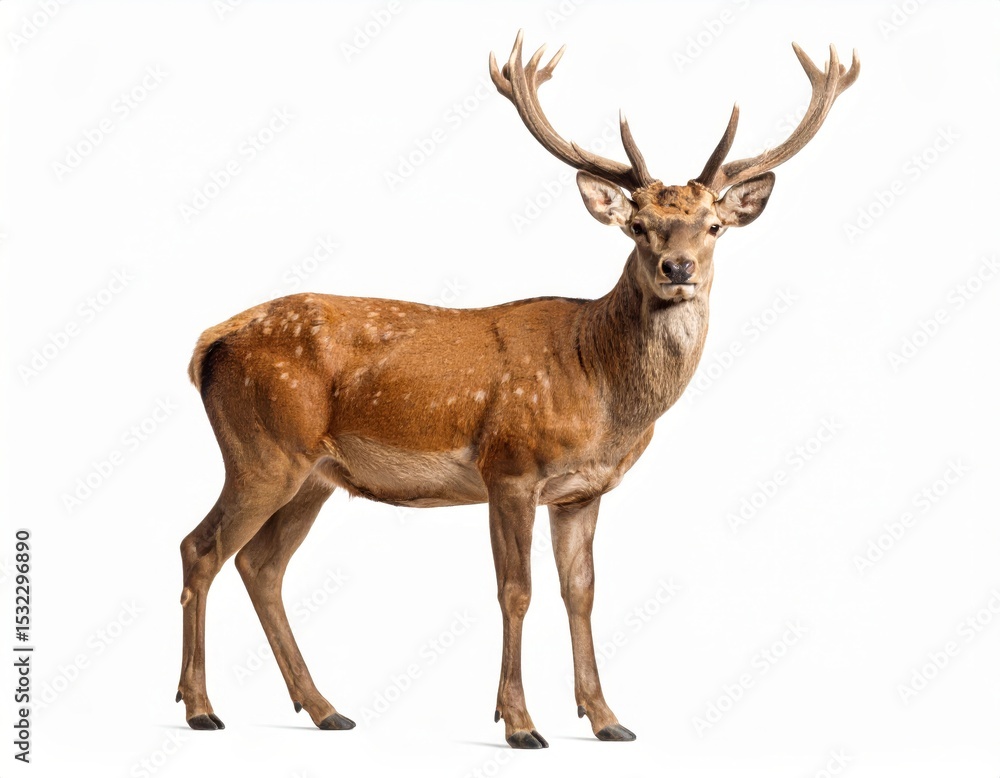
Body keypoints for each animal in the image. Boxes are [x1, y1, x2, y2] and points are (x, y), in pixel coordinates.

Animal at [176, 30, 858, 748]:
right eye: (638, 226)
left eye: (713, 226)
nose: (678, 269)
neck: (602, 389)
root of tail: (206, 345)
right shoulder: (509, 466)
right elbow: (516, 590)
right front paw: (521, 723)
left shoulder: (582, 490)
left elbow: (581, 591)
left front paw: (608, 719)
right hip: (262, 449)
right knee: (202, 547)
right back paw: (201, 707)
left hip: (315, 474)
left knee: (261, 565)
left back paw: (325, 707)